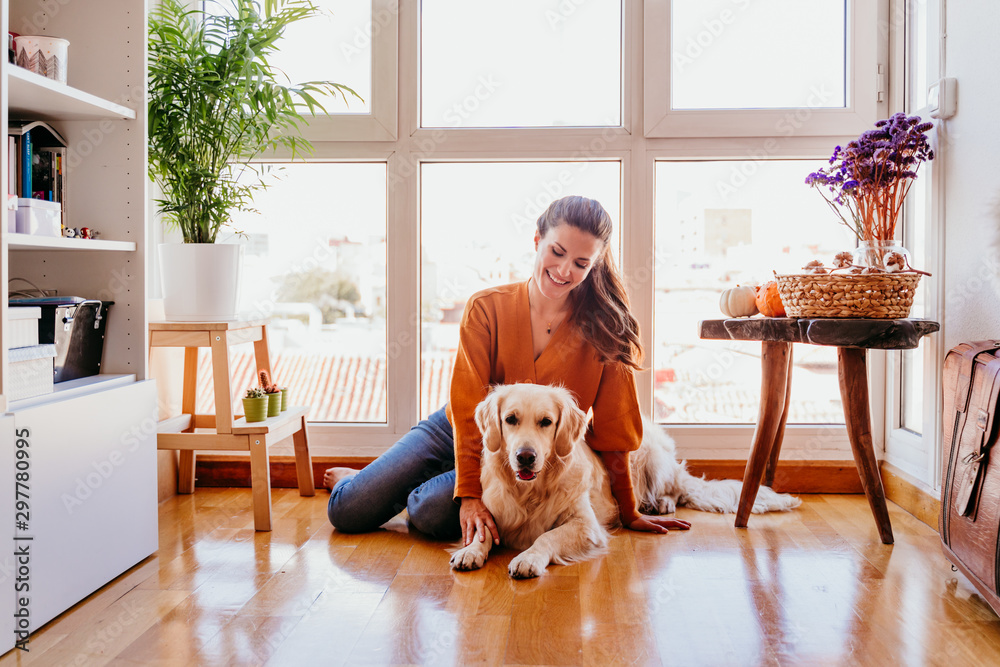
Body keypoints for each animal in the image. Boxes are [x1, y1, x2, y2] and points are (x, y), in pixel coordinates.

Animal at [450, 386, 800, 580]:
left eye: (546, 422)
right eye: (510, 419)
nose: (525, 457)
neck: (529, 491)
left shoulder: (585, 525)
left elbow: (547, 537)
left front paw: (527, 558)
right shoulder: (493, 513)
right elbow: (482, 531)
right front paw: (471, 551)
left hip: (651, 457)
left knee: (675, 490)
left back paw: (660, 504)